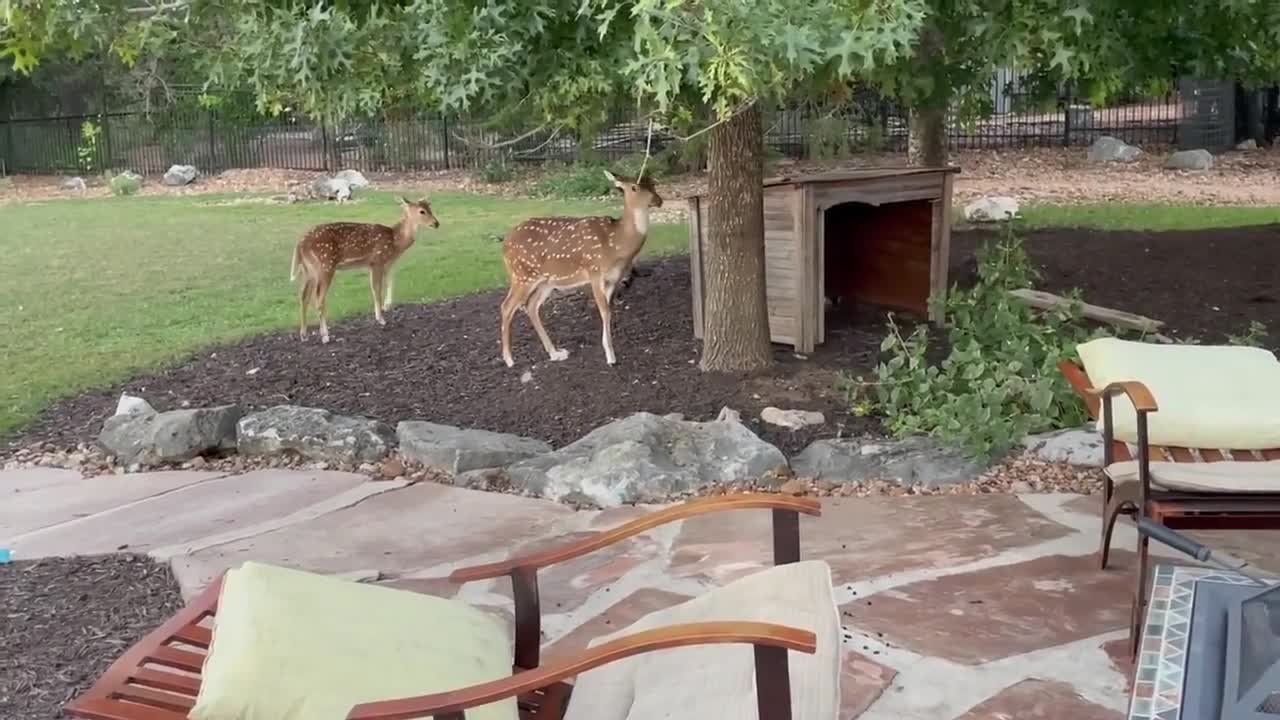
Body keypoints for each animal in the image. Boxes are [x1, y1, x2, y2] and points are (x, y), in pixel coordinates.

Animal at [291, 194, 440, 343]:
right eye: (422, 211)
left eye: (430, 208)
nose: (436, 223)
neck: (395, 242)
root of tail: (300, 244)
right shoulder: (377, 260)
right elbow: (377, 289)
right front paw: (381, 319)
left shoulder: (384, 264)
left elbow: (390, 282)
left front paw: (387, 306)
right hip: (325, 265)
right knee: (319, 297)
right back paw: (325, 335)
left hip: (309, 270)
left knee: (304, 296)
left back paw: (304, 335)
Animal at [496, 170, 665, 366]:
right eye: (634, 187)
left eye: (653, 184)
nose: (658, 200)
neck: (616, 244)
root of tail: (504, 245)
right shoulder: (594, 271)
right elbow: (604, 311)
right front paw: (611, 357)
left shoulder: (613, 279)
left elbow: (608, 310)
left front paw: (608, 350)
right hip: (522, 274)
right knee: (507, 306)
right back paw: (509, 359)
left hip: (546, 280)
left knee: (531, 306)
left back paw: (555, 353)